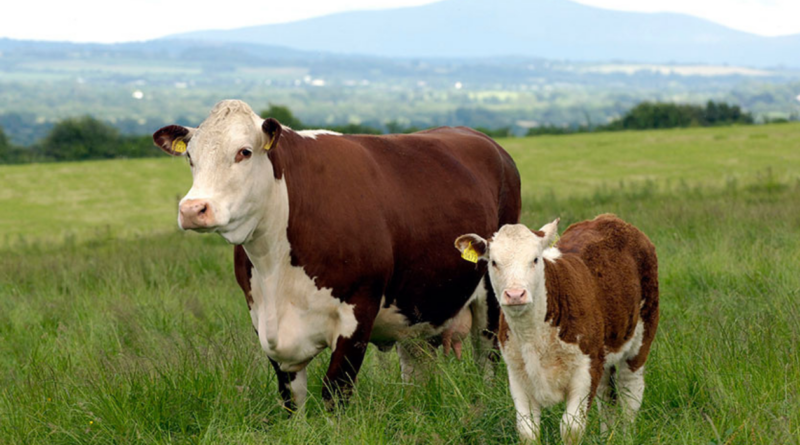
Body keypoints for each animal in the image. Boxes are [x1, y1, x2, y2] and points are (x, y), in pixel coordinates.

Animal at [153, 99, 520, 410]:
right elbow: (290, 400)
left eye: (244, 151)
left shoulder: (358, 312)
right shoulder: (263, 320)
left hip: (492, 300)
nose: (193, 209)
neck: (275, 267)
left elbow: (335, 392)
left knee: (487, 361)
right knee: (417, 369)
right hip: (419, 306)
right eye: (191, 158)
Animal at [454, 214, 660, 440]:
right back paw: (607, 436)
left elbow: (571, 427)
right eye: (493, 262)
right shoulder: (517, 373)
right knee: (607, 396)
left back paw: (626, 435)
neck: (534, 336)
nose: (515, 294)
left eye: (535, 259)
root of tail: (610, 219)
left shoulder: (586, 368)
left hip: (640, 338)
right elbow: (527, 430)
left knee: (629, 393)